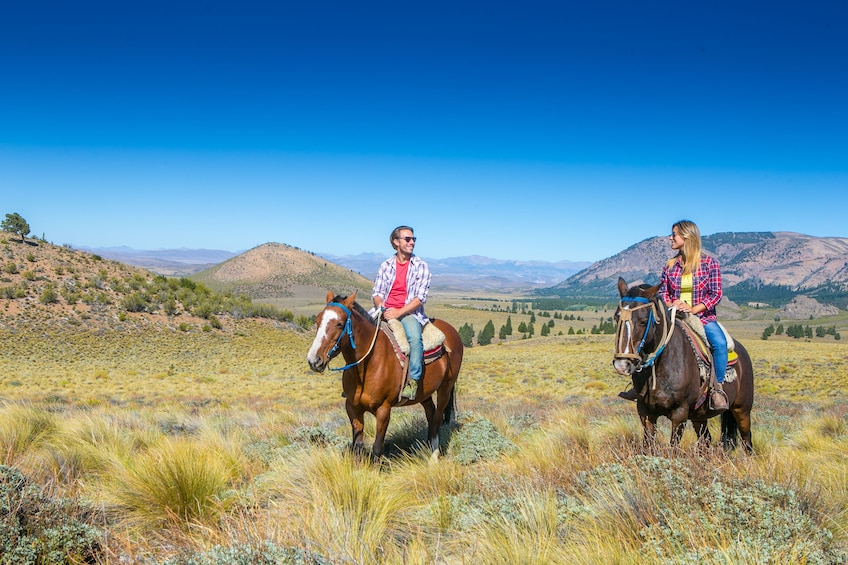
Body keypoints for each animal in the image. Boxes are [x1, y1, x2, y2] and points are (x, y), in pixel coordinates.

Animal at [306, 294, 464, 456]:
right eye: (317, 321)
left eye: (339, 324)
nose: (314, 360)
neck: (367, 366)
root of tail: (451, 331)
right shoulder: (352, 408)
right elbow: (357, 446)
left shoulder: (383, 410)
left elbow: (377, 448)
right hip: (424, 393)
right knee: (430, 413)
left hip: (445, 388)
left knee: (438, 418)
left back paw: (434, 454)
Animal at [608, 278, 756, 454]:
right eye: (616, 318)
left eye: (643, 321)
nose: (622, 364)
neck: (660, 367)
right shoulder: (645, 412)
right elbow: (648, 447)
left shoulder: (680, 413)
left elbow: (673, 449)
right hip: (700, 415)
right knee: (706, 439)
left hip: (742, 409)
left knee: (747, 440)